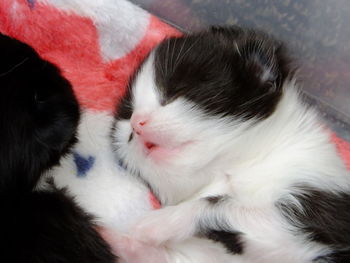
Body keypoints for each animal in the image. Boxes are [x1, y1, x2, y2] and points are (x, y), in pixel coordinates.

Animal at [111, 26, 350, 263]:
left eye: (176, 92)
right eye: (127, 114)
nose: (136, 123)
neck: (231, 170)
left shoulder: (305, 218)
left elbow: (218, 203)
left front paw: (154, 223)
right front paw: (120, 241)